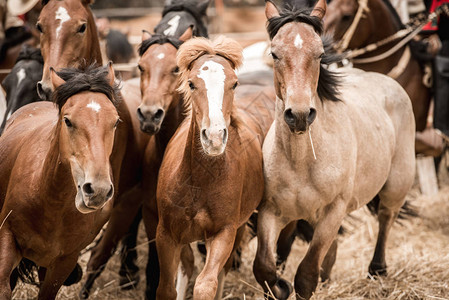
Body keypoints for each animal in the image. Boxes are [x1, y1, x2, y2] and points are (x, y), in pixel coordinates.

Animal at [154, 37, 270, 300]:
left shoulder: (223, 233)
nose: (215, 137)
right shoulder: (166, 233)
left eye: (234, 83)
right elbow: (166, 287)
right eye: (191, 83)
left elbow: (206, 283)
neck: (200, 180)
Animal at [250, 1, 414, 298]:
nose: (299, 115)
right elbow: (265, 268)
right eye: (274, 53)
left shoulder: (333, 211)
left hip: (396, 184)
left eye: (320, 54)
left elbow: (305, 276)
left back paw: (377, 269)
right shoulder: (271, 212)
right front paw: (281, 285)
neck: (301, 160)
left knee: (386, 218)